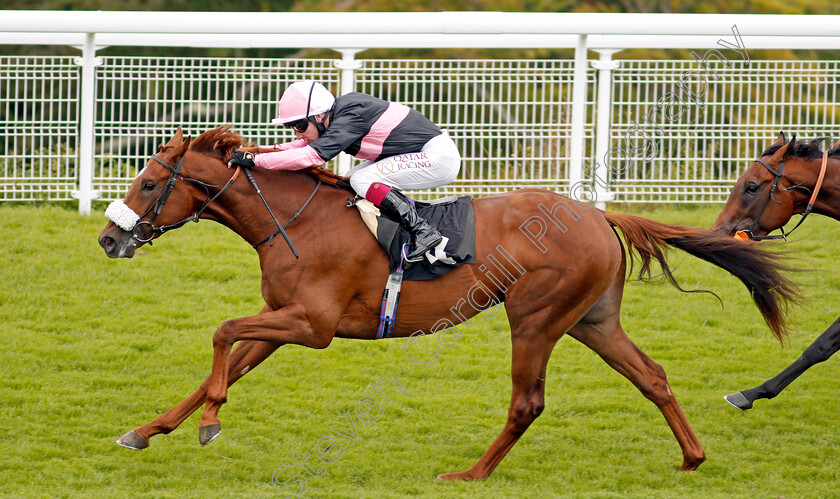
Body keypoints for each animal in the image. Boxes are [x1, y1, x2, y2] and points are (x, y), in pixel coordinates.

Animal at [98, 125, 800, 476]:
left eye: (151, 182)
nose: (109, 237)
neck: (293, 220)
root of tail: (599, 216)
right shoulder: (283, 320)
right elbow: (222, 364)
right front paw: (148, 430)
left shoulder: (312, 324)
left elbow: (221, 331)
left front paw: (209, 424)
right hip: (592, 321)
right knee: (651, 376)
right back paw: (692, 456)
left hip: (536, 317)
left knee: (527, 401)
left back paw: (471, 475)